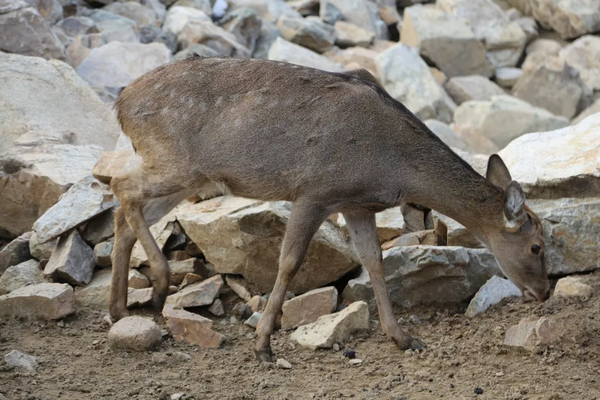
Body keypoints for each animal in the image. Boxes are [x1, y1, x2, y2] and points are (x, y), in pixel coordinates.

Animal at [108, 56, 548, 362]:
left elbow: (374, 261)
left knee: (124, 212)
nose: (543, 291)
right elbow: (289, 262)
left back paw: (119, 308)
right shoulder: (315, 190)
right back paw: (159, 282)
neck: (394, 167)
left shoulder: (357, 204)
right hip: (173, 161)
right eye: (537, 246)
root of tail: (120, 103)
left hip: (189, 177)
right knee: (120, 187)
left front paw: (403, 338)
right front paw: (263, 344)